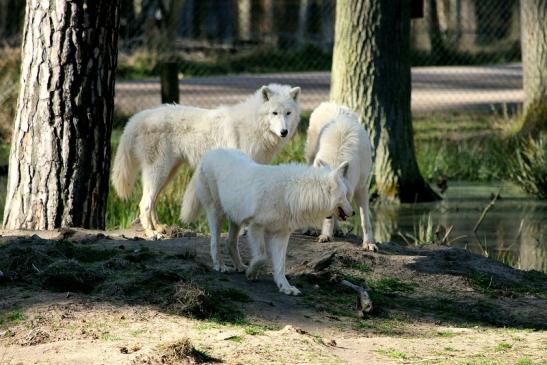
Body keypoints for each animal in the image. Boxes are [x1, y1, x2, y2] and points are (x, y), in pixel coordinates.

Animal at [109, 83, 302, 237]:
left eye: (288, 113)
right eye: (274, 113)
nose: (284, 132)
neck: (254, 124)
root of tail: (139, 116)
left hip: (167, 174)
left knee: (152, 201)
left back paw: (159, 227)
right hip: (159, 172)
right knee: (144, 204)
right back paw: (151, 233)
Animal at [183, 148, 356, 296]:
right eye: (345, 196)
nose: (353, 212)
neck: (290, 194)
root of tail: (211, 152)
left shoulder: (281, 234)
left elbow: (280, 265)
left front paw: (285, 287)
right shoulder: (256, 227)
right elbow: (262, 257)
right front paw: (252, 272)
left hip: (236, 219)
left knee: (230, 243)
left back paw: (239, 266)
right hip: (217, 213)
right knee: (214, 242)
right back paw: (220, 265)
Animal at [306, 101, 378, 250]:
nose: (352, 213)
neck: (336, 160)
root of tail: (329, 103)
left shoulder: (362, 188)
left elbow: (365, 219)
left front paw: (369, 243)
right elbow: (328, 218)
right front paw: (326, 235)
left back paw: (338, 230)